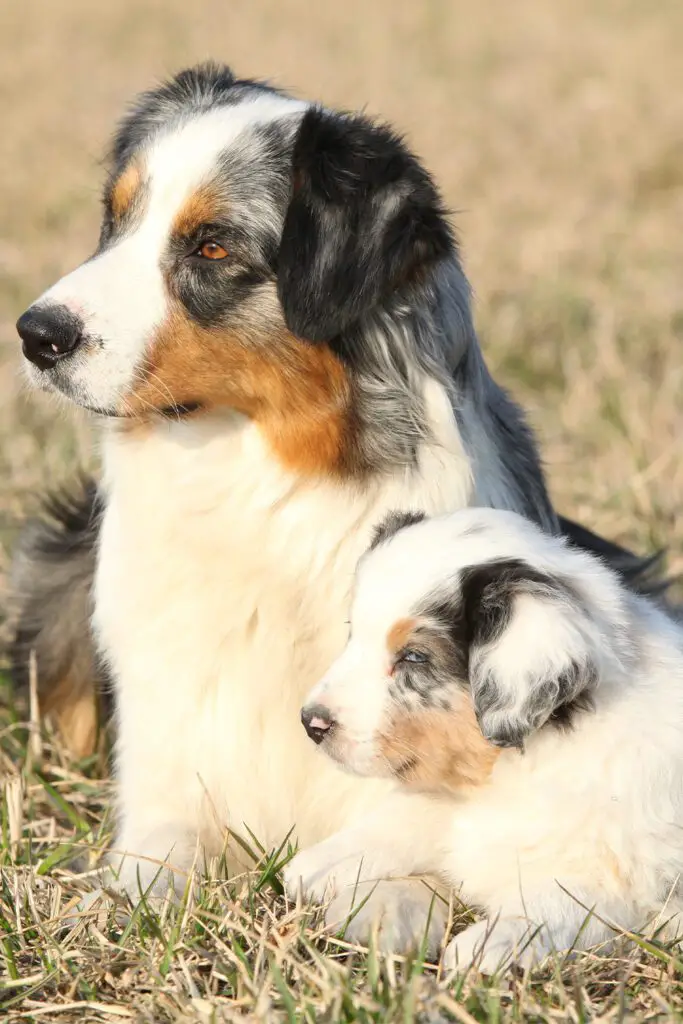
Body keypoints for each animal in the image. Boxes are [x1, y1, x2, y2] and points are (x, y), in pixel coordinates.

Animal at [10, 64, 659, 950]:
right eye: (115, 220)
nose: (34, 335)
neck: (260, 480)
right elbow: (154, 862)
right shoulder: (169, 760)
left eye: (212, 245)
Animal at [286, 507, 683, 970]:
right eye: (354, 634)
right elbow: (408, 822)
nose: (311, 723)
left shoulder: (620, 885)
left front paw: (487, 947)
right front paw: (318, 864)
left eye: (415, 657)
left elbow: (555, 904)